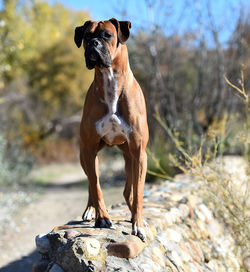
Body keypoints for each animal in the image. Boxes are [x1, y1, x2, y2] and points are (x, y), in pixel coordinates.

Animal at [74, 18, 148, 241]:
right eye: (86, 36)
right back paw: (91, 210)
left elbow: (138, 192)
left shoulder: (139, 152)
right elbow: (96, 187)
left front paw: (138, 224)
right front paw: (102, 218)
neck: (110, 81)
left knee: (129, 191)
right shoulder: (89, 150)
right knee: (92, 182)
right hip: (87, 156)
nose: (93, 43)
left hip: (130, 158)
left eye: (107, 35)